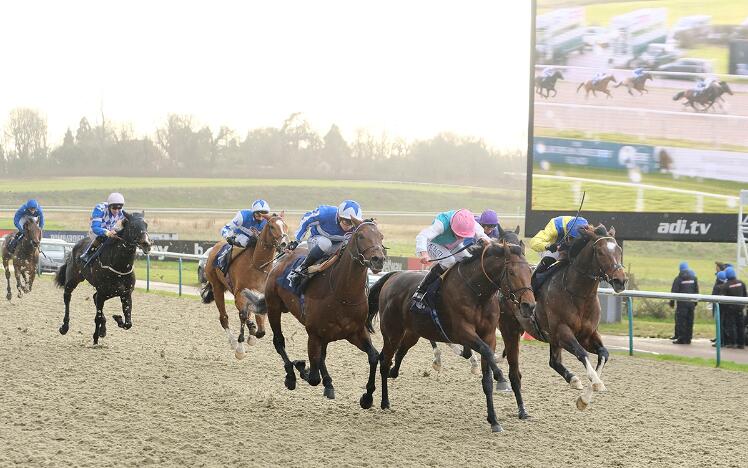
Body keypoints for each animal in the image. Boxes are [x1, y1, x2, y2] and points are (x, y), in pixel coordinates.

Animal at [54, 212, 152, 344]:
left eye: (146, 225)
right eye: (132, 226)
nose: (147, 244)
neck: (120, 267)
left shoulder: (125, 294)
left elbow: (128, 323)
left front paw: (117, 318)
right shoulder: (102, 293)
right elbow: (98, 317)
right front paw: (95, 339)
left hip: (109, 293)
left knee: (94, 297)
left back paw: (103, 330)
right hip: (73, 280)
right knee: (67, 297)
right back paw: (64, 327)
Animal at [202, 214, 290, 360]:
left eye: (285, 226)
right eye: (272, 226)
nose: (284, 243)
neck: (257, 266)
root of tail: (215, 248)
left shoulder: (260, 295)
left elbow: (260, 325)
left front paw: (254, 333)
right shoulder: (240, 294)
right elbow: (243, 315)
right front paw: (240, 349)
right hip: (217, 287)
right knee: (224, 318)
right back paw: (233, 342)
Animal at [251, 219, 386, 402]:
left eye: (381, 236)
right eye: (360, 236)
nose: (378, 259)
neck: (342, 293)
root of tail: (281, 260)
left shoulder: (355, 332)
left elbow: (373, 356)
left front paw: (367, 396)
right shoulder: (314, 334)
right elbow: (314, 377)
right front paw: (301, 367)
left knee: (322, 355)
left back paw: (327, 383)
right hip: (274, 307)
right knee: (279, 341)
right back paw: (291, 375)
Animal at [366, 239, 532, 434]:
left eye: (530, 272)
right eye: (512, 272)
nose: (529, 305)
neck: (477, 293)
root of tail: (394, 276)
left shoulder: (489, 335)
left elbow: (487, 376)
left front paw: (494, 420)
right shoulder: (463, 332)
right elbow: (486, 353)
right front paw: (500, 377)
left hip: (413, 332)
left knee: (396, 355)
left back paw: (391, 377)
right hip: (392, 331)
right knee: (384, 361)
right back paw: (380, 400)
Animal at [524, 225, 624, 412]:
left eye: (619, 250)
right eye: (600, 252)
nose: (620, 280)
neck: (579, 295)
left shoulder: (588, 335)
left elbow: (604, 354)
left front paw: (584, 399)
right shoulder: (562, 332)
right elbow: (581, 353)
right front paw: (596, 383)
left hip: (552, 339)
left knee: (554, 362)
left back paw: (573, 380)